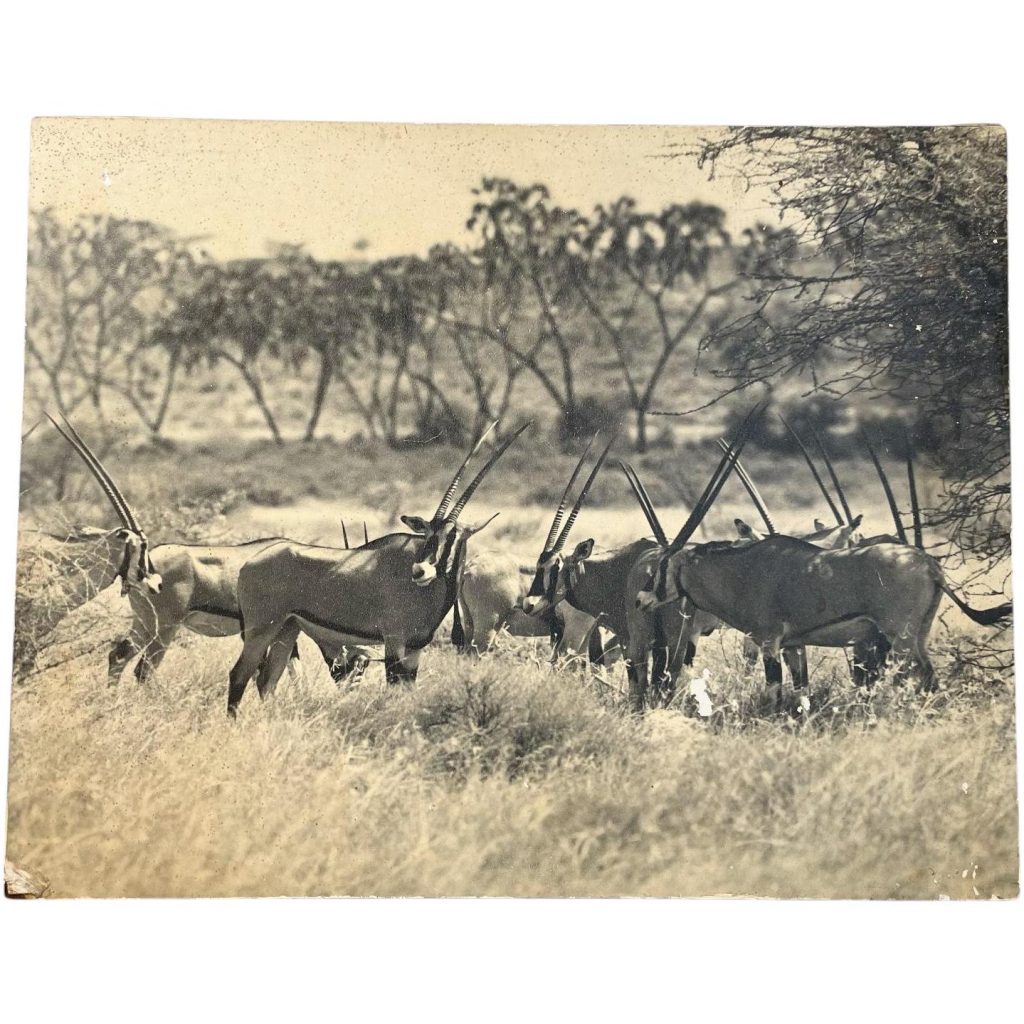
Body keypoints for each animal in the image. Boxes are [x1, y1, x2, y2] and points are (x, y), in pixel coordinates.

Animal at [46, 415, 372, 688]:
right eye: (359, 662)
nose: (348, 687)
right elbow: (280, 674)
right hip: (164, 628)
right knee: (143, 670)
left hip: (144, 624)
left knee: (118, 656)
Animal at [224, 419, 528, 716]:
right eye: (428, 533)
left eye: (452, 536)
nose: (419, 571)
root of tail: (249, 564)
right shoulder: (394, 641)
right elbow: (393, 688)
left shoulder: (415, 649)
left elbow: (408, 691)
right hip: (261, 629)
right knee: (240, 674)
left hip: (287, 629)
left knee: (267, 680)